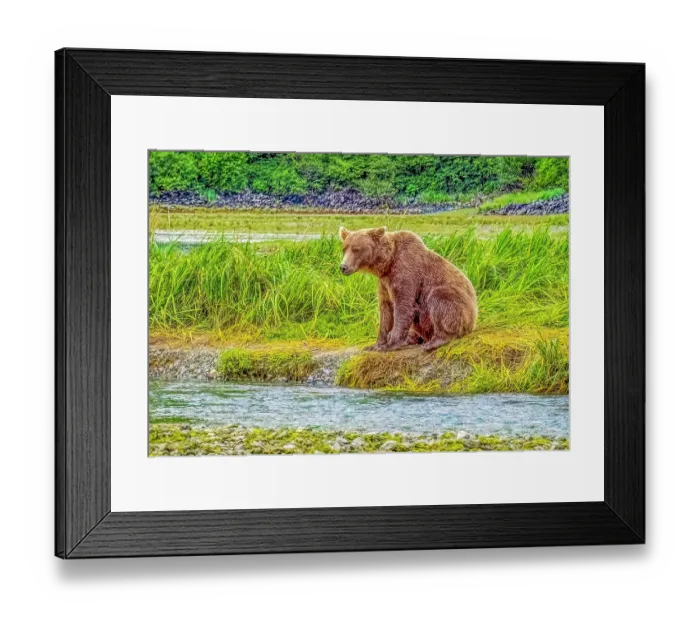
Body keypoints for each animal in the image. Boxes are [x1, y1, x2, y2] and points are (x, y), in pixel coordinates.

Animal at [339, 226, 478, 352]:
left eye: (356, 249)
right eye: (344, 249)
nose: (343, 267)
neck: (387, 263)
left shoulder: (406, 272)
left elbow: (403, 306)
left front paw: (389, 345)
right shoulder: (384, 283)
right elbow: (385, 311)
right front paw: (375, 345)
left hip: (459, 304)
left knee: (441, 300)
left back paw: (434, 342)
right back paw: (412, 338)